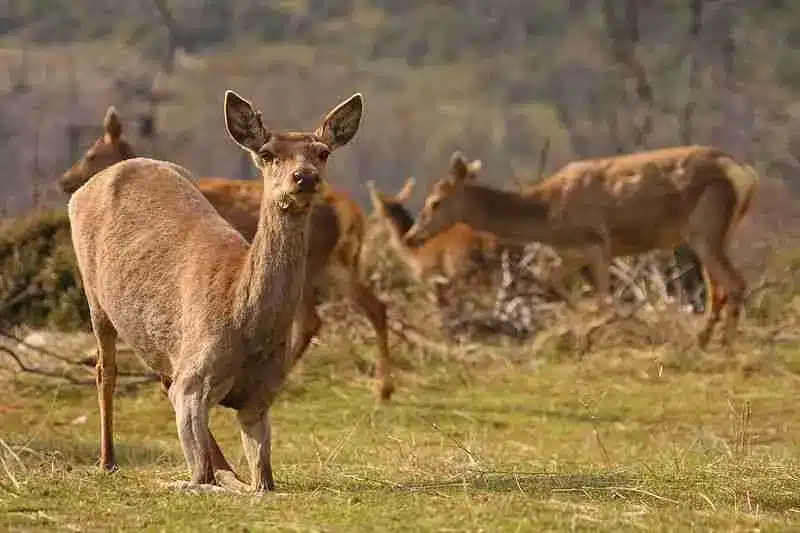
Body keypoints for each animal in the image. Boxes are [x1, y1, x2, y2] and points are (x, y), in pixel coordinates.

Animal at [57, 106, 392, 402]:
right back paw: (382, 389)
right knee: (374, 306)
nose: (65, 180)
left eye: (90, 154)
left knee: (313, 319)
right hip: (339, 263)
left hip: (313, 265)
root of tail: (350, 211)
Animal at [68, 89, 366, 492]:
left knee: (164, 377)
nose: (305, 177)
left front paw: (237, 476)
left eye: (322, 152)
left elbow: (263, 482)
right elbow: (199, 479)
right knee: (106, 369)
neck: (243, 319)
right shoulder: (194, 382)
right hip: (94, 295)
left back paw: (226, 469)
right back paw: (107, 460)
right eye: (267, 153)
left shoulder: (260, 397)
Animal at [404, 148, 760, 348]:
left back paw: (725, 345)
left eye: (435, 202)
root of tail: (744, 173)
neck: (549, 217)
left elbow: (605, 302)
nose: (411, 236)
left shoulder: (597, 241)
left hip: (705, 226)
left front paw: (587, 332)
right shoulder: (573, 252)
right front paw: (577, 320)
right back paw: (703, 340)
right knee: (719, 287)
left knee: (734, 283)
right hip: (719, 232)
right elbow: (551, 279)